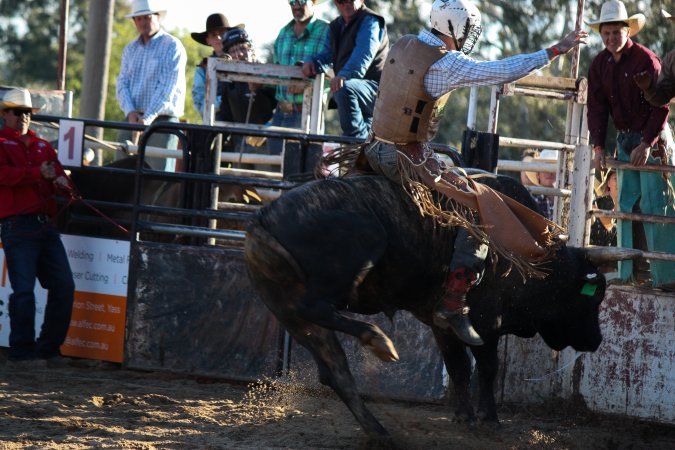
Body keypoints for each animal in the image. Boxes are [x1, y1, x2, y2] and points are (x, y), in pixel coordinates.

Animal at [244, 173, 606, 437]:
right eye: (591, 297)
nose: (597, 340)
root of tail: (263, 217)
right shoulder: (487, 321)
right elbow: (487, 367)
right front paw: (488, 418)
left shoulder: (441, 324)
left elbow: (458, 366)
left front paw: (464, 416)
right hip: (363, 244)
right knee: (315, 307)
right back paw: (378, 339)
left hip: (287, 311)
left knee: (335, 370)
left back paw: (379, 432)